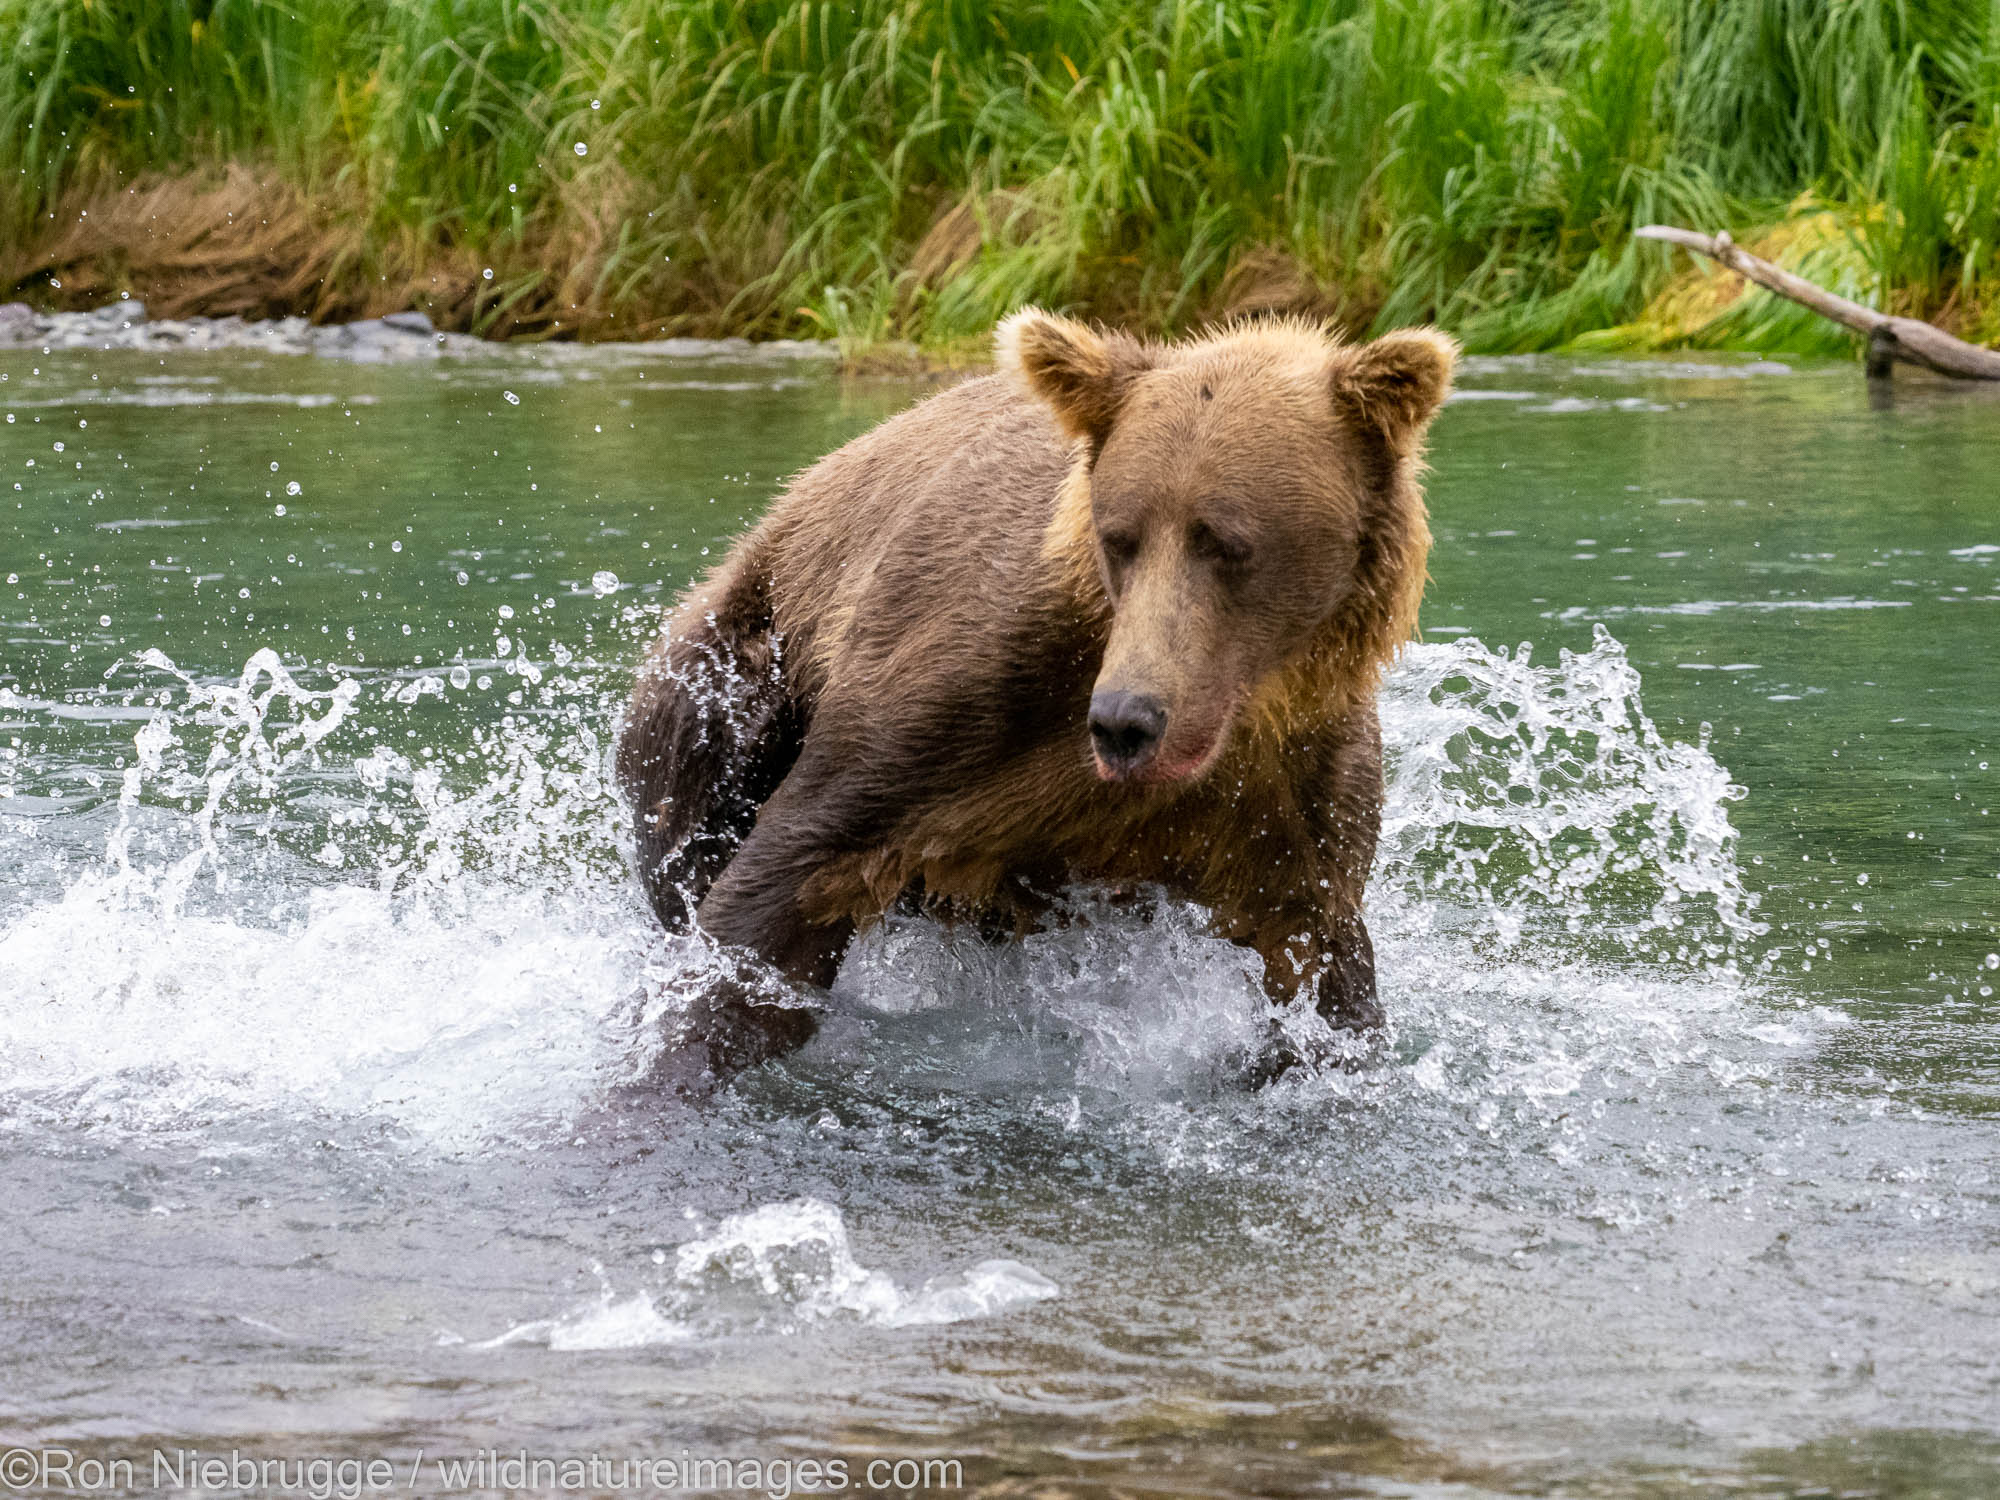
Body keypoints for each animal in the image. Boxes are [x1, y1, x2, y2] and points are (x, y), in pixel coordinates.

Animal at [620, 314, 1456, 1096]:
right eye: (1121, 537)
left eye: (1226, 543)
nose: (1127, 720)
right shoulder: (957, 699)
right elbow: (783, 890)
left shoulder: (1288, 795)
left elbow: (1318, 965)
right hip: (739, 659)